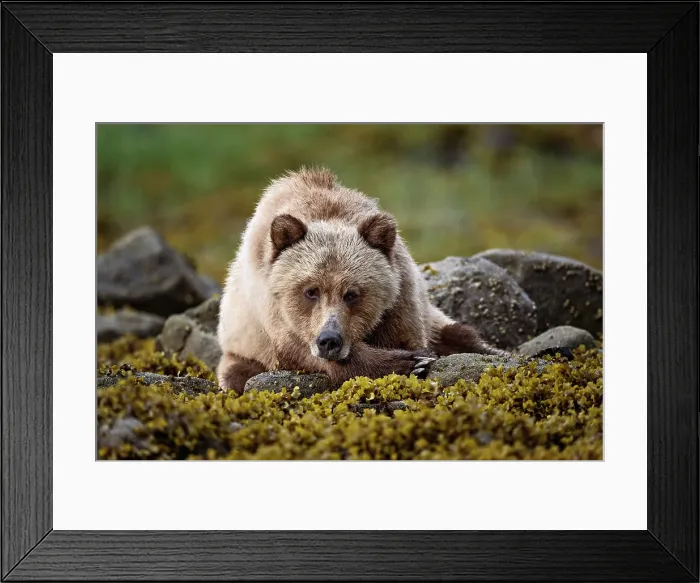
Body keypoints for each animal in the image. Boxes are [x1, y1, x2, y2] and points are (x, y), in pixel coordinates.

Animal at [217, 167, 508, 394]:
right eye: (311, 291)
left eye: (352, 293)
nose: (329, 340)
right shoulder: (274, 311)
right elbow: (302, 352)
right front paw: (410, 362)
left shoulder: (399, 295)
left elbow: (408, 334)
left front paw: (418, 358)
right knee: (237, 373)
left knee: (459, 332)